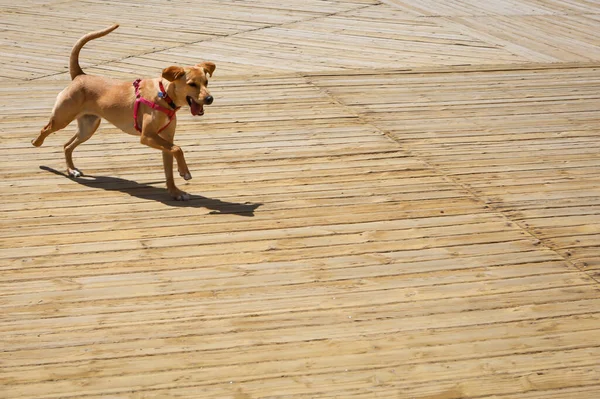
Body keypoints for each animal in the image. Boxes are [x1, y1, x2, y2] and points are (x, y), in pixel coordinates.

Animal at [32, 23, 216, 202]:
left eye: (206, 82)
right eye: (192, 84)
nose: (210, 98)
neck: (164, 94)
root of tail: (79, 75)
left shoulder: (166, 140)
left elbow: (169, 168)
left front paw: (175, 192)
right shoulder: (147, 136)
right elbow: (178, 149)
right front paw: (185, 173)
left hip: (88, 127)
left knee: (67, 145)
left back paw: (72, 170)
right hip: (63, 118)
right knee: (46, 129)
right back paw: (37, 142)